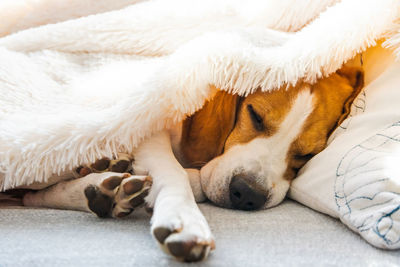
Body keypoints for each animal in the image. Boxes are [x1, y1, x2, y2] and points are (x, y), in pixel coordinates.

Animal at [20, 66, 364, 262]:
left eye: (306, 155)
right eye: (254, 115)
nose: (248, 194)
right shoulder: (151, 122)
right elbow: (175, 174)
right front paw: (183, 218)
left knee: (33, 196)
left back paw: (103, 188)